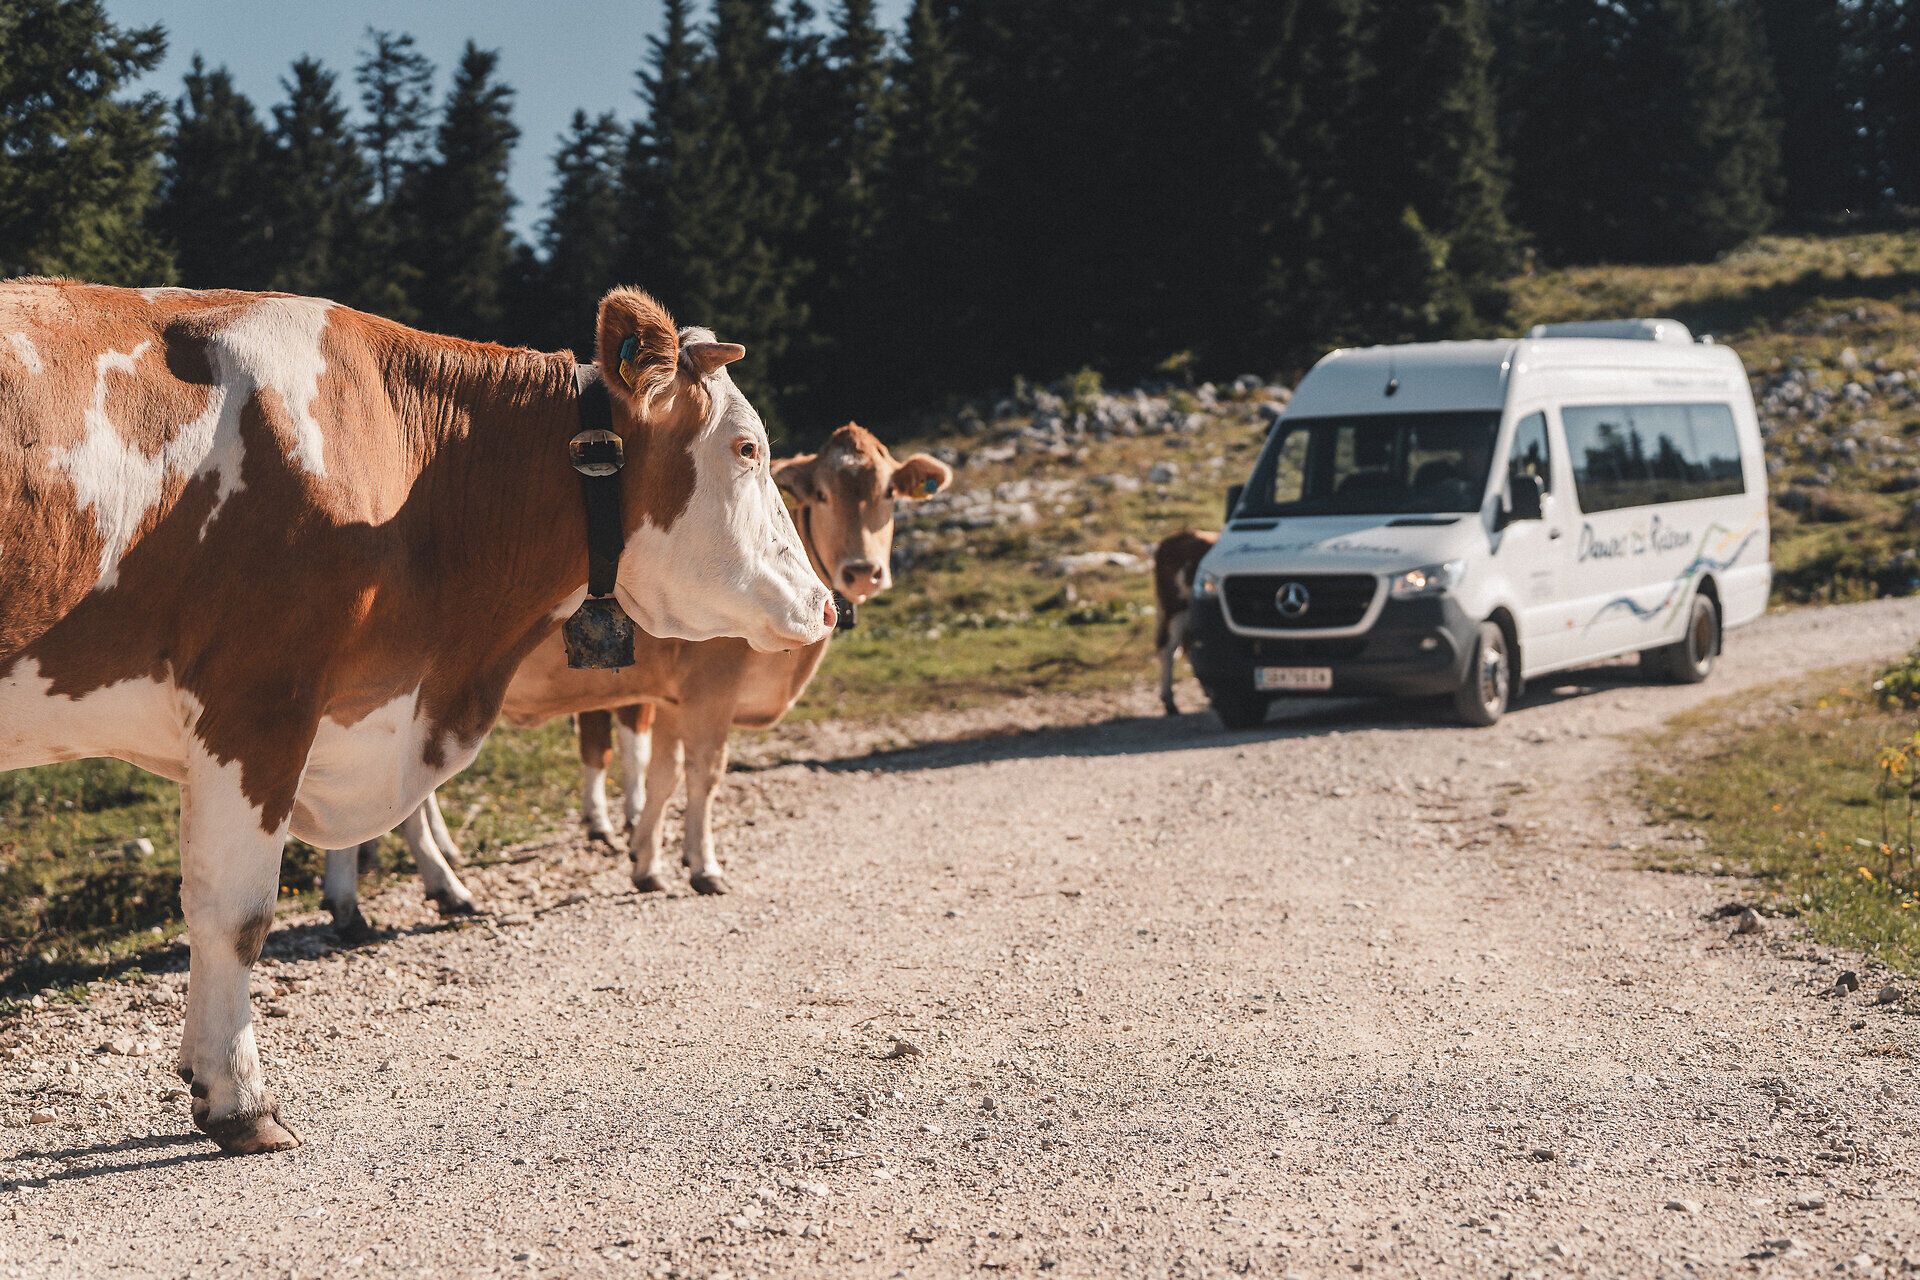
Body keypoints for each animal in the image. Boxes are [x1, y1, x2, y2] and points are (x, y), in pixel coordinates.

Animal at [318, 423, 951, 926]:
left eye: (889, 493)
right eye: (820, 493)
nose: (863, 570)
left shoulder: (671, 697)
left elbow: (662, 777)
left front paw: (648, 863)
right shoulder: (711, 692)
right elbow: (702, 777)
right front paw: (705, 867)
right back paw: (371, 900)